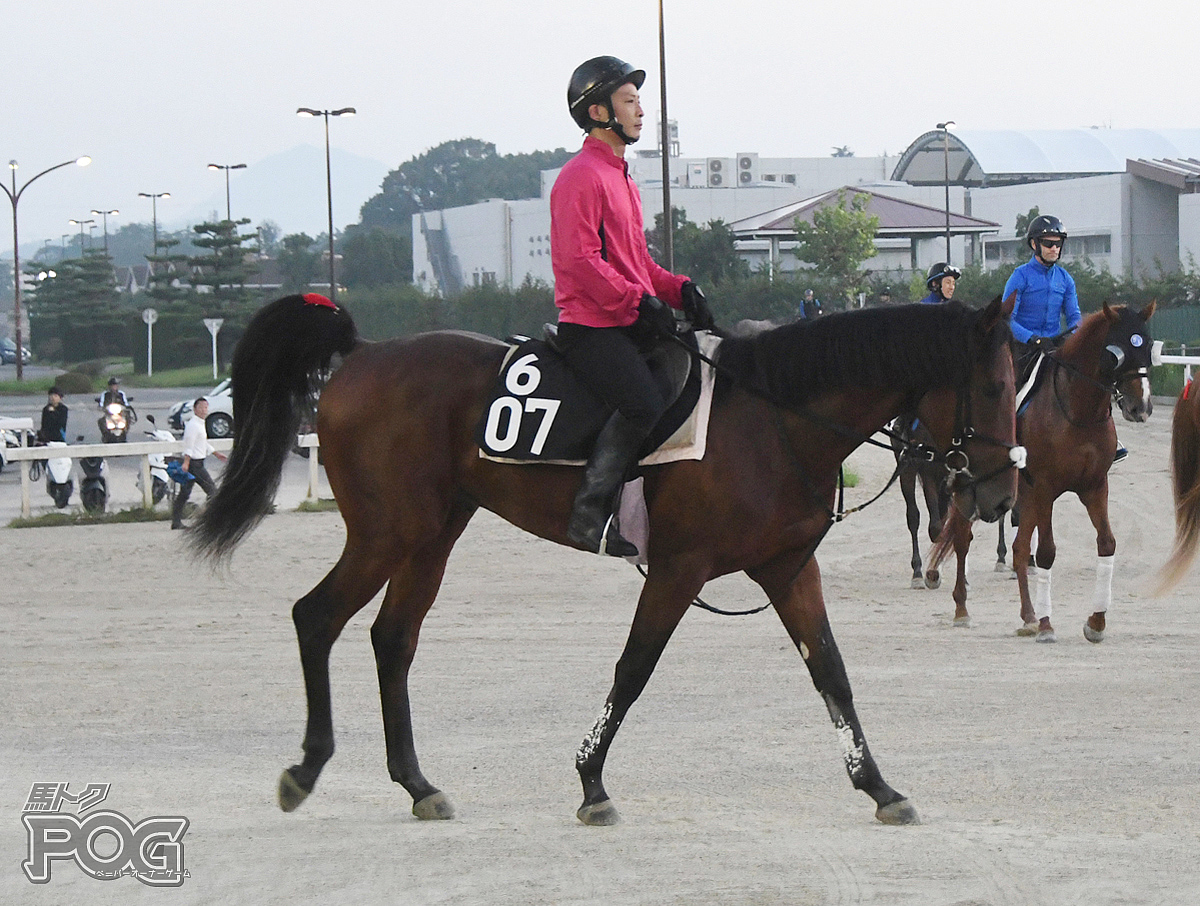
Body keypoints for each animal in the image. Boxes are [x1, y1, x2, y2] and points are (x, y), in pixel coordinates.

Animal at [192, 296, 1017, 830]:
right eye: (994, 385)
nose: (1003, 492)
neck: (772, 418)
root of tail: (362, 356)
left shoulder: (787, 570)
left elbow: (833, 675)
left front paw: (878, 785)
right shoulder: (680, 570)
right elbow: (634, 668)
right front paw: (591, 782)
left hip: (433, 534)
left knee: (392, 639)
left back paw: (418, 785)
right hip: (386, 533)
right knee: (316, 617)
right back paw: (306, 768)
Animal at [926, 304, 1152, 643]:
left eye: (1148, 347)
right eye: (1117, 353)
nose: (1141, 407)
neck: (1078, 411)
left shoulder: (1094, 487)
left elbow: (1106, 544)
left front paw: (1096, 622)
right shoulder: (1047, 489)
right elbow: (1046, 552)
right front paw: (1047, 626)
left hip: (1026, 495)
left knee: (1019, 549)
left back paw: (1028, 616)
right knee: (964, 539)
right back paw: (963, 609)